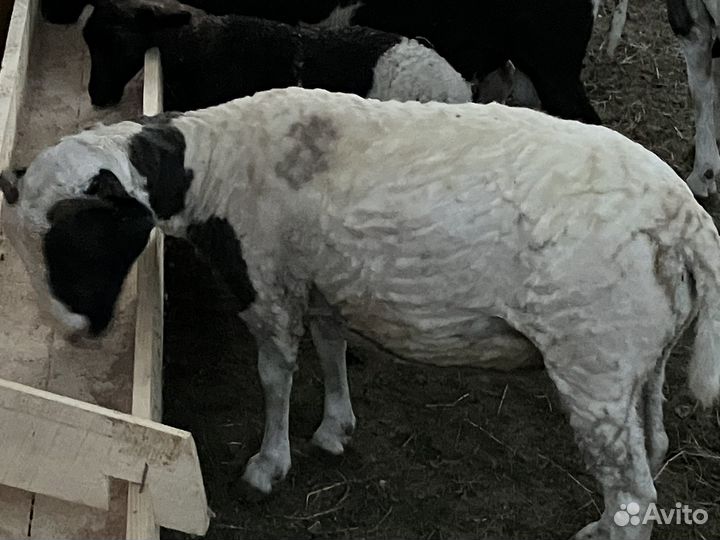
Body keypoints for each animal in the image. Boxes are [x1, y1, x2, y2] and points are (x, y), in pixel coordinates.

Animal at [3, 87, 720, 539]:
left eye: (78, 244)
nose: (74, 334)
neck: (215, 166)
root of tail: (687, 224)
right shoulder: (325, 279)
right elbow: (330, 346)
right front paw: (334, 428)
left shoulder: (269, 285)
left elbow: (275, 376)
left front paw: (269, 465)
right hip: (633, 357)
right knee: (648, 451)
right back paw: (599, 521)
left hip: (591, 360)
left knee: (634, 497)